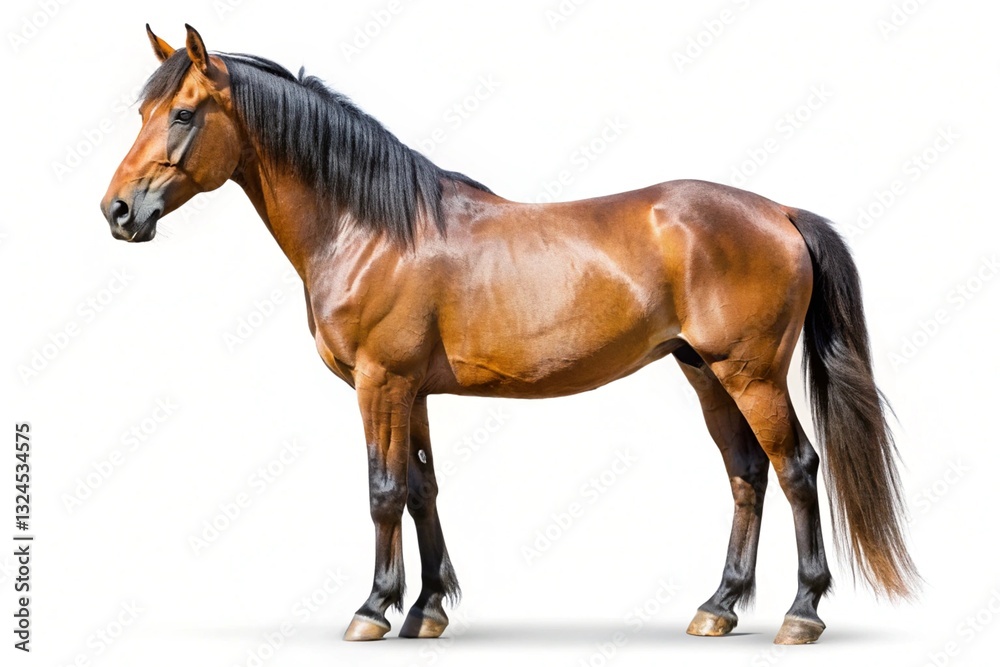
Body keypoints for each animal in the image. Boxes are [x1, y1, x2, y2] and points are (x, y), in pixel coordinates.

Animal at [101, 25, 917, 645]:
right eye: (143, 111)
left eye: (183, 113)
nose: (117, 210)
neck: (370, 227)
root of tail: (779, 211)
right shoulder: (413, 390)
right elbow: (422, 488)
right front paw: (427, 609)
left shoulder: (380, 381)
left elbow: (382, 490)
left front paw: (373, 609)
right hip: (703, 371)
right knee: (747, 473)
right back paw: (718, 606)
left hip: (750, 373)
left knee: (798, 469)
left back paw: (801, 613)